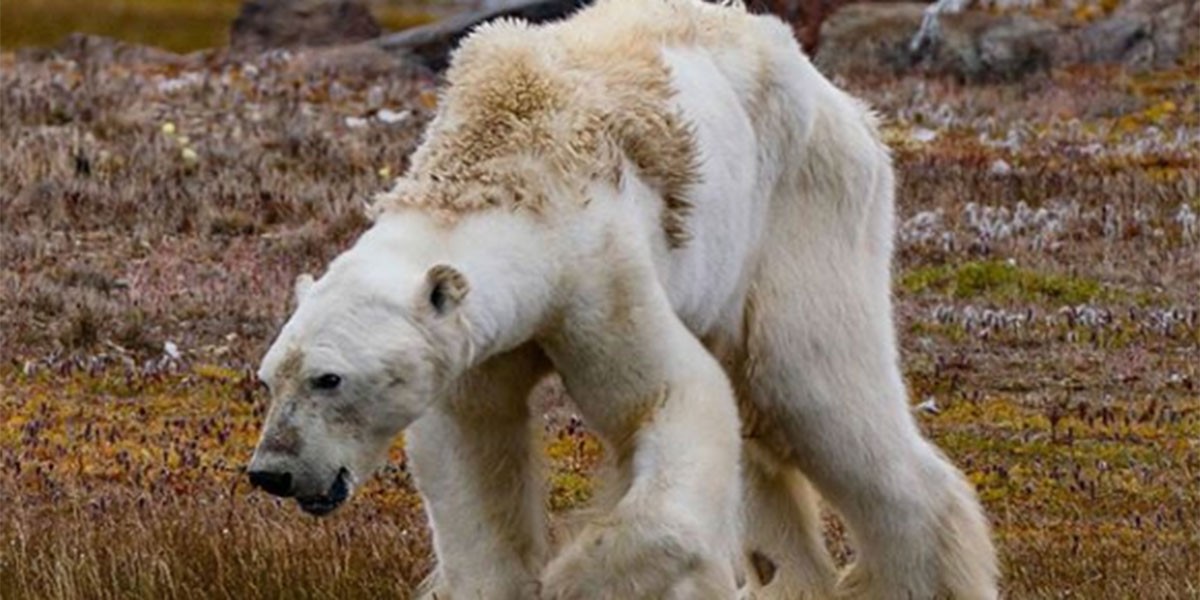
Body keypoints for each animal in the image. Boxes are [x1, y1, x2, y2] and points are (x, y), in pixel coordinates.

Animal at [246, 0, 999, 598]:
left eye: (329, 377)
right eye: (269, 377)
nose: (272, 472)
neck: (504, 162)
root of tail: (846, 104)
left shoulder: (598, 272)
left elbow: (673, 400)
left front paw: (572, 578)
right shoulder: (477, 343)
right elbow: (472, 451)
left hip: (803, 210)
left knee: (815, 389)